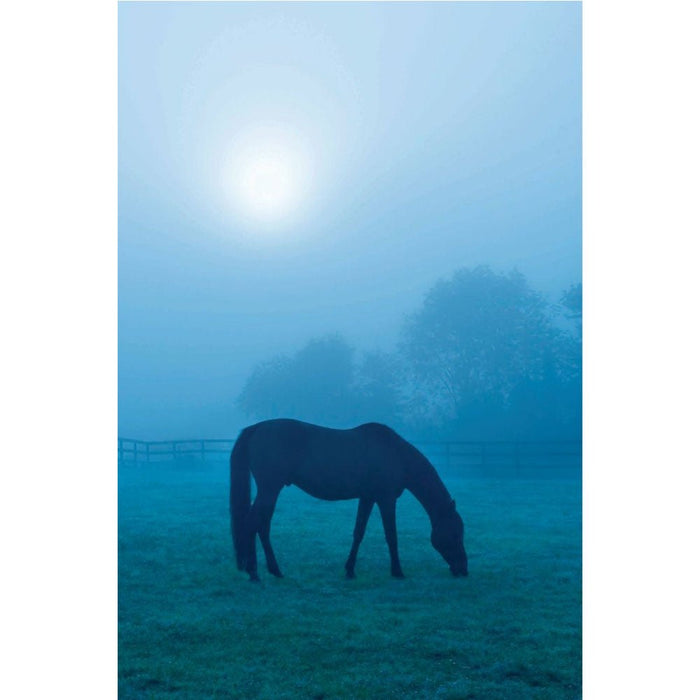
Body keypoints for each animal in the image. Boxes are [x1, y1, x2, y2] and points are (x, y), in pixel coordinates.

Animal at [229, 418, 468, 582]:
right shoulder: (386, 499)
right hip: (269, 489)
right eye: (455, 533)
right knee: (253, 523)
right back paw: (255, 573)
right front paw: (397, 571)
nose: (463, 569)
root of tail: (257, 428)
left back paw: (273, 570)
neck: (396, 455)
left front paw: (350, 569)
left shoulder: (368, 498)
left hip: (270, 491)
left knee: (261, 526)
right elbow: (392, 536)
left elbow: (358, 533)